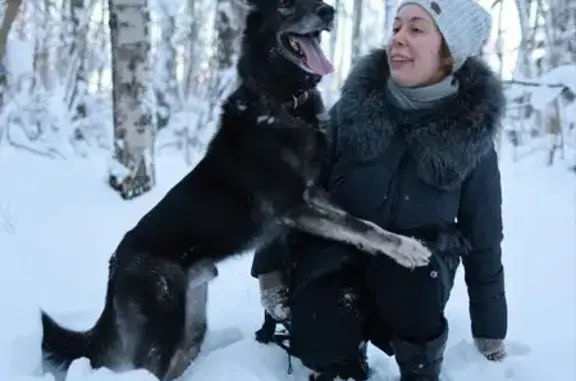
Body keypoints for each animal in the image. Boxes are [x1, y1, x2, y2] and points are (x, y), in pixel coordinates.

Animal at [39, 0, 432, 380]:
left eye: (318, 1)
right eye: (286, 6)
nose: (328, 11)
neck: (284, 103)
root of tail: (115, 266)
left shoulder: (314, 196)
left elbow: (359, 221)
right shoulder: (295, 209)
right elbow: (359, 226)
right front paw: (408, 249)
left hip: (192, 330)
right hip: (162, 332)